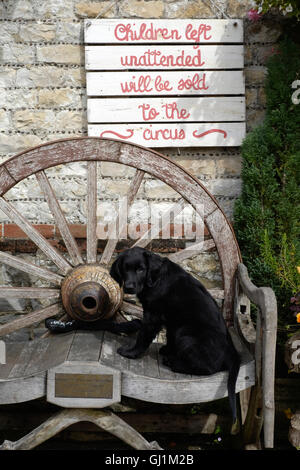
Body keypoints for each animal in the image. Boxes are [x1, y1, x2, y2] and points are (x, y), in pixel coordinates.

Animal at [110, 246, 241, 422]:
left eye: (140, 269)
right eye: (125, 269)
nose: (129, 287)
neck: (155, 279)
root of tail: (231, 352)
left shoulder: (153, 315)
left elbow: (143, 336)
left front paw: (130, 352)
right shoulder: (172, 321)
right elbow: (169, 336)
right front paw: (167, 349)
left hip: (186, 334)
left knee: (208, 368)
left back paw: (174, 362)